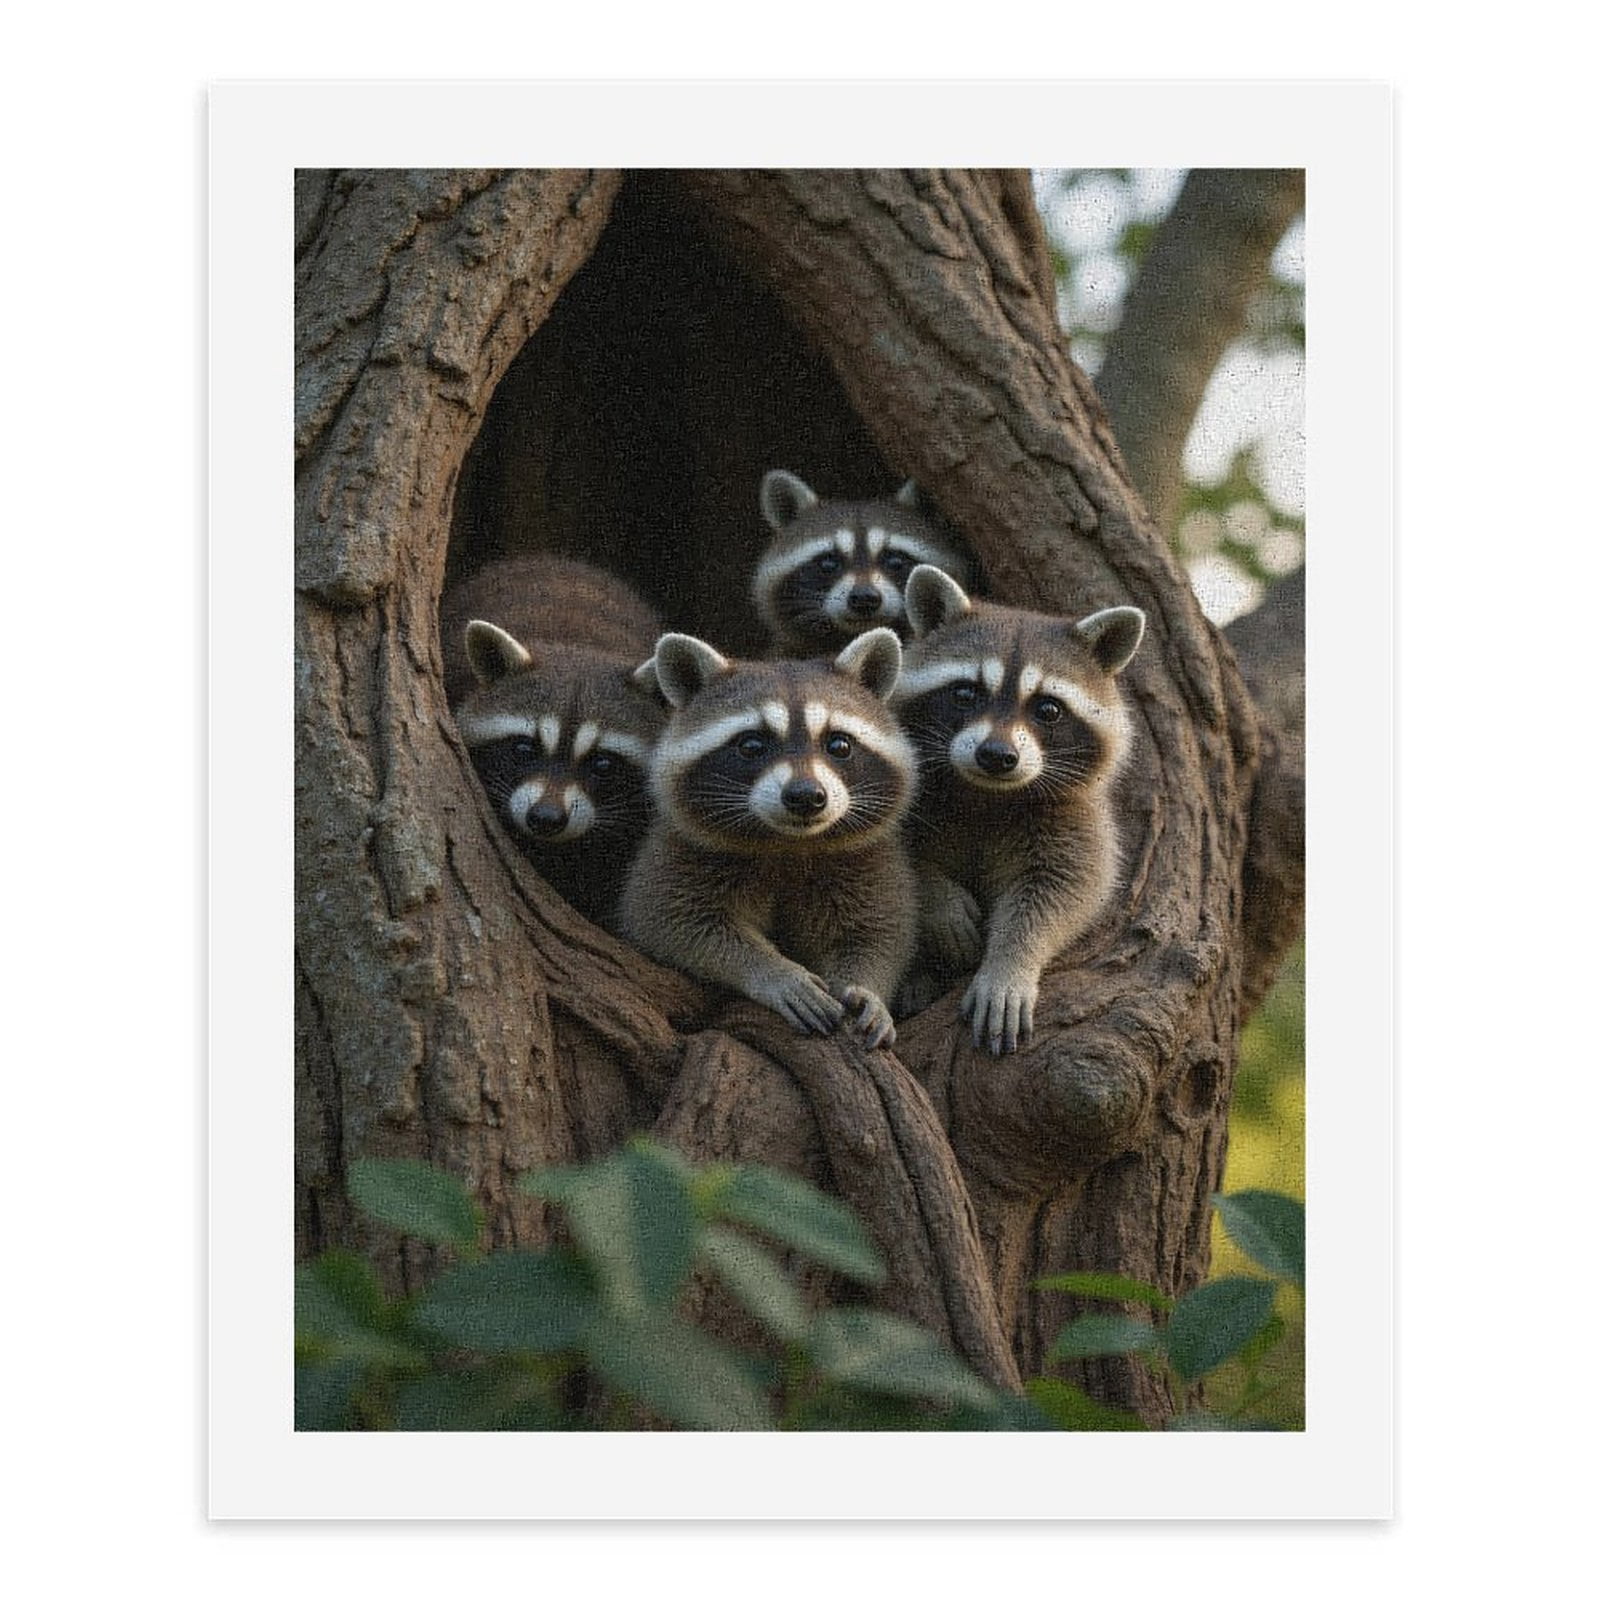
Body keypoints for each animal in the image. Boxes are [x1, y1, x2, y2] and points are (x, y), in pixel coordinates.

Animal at [621, 628, 918, 1049]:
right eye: (751, 745)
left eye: (839, 744)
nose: (806, 796)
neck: (788, 843)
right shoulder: (680, 852)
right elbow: (671, 922)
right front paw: (773, 970)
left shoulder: (867, 862)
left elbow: (876, 933)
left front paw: (868, 989)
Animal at [893, 565, 1145, 1055]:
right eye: (965, 694)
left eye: (1048, 708)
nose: (996, 755)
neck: (987, 791)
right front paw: (938, 897)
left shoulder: (1074, 815)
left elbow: (1062, 890)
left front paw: (1010, 966)